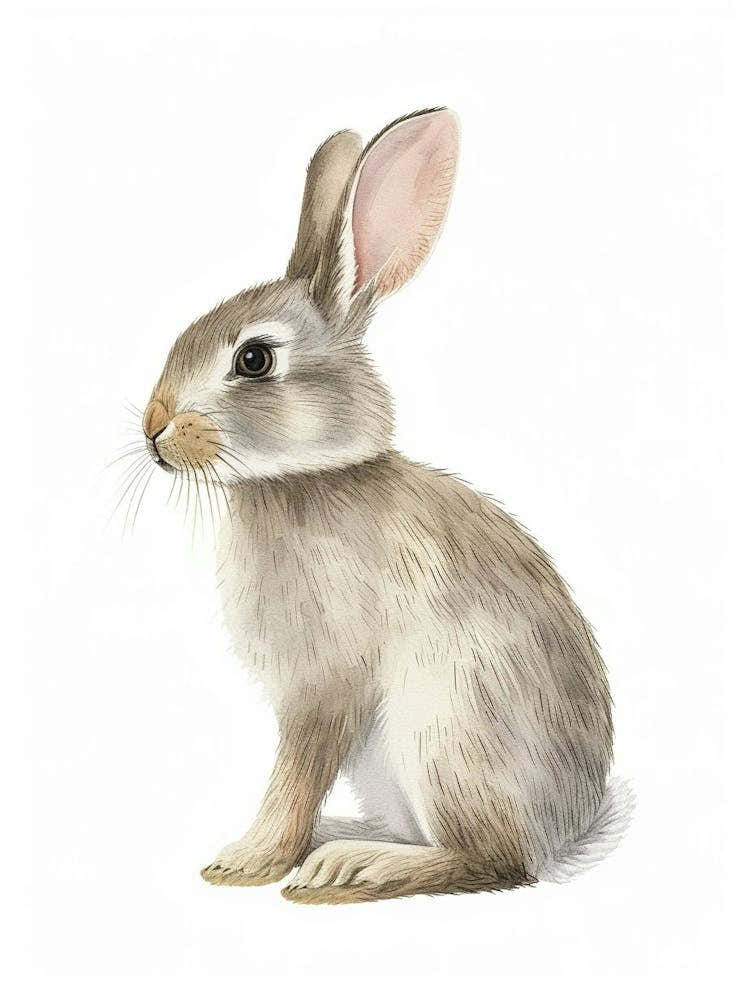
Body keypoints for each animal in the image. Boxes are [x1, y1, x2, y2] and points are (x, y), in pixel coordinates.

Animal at [141, 108, 629, 904]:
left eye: (254, 359)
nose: (152, 430)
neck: (305, 478)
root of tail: (565, 827)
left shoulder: (322, 686)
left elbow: (295, 778)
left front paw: (245, 862)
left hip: (445, 731)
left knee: (494, 861)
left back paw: (350, 867)